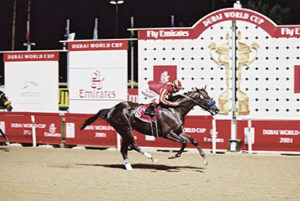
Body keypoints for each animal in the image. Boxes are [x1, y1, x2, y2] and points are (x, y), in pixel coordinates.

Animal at [81, 87, 219, 170]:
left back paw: (129, 167)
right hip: (125, 129)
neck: (175, 110)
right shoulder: (167, 133)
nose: (216, 109)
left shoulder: (179, 131)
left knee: (124, 149)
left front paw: (205, 160)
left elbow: (193, 141)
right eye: (206, 97)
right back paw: (152, 158)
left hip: (124, 131)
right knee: (133, 145)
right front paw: (174, 155)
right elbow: (184, 142)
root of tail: (110, 109)